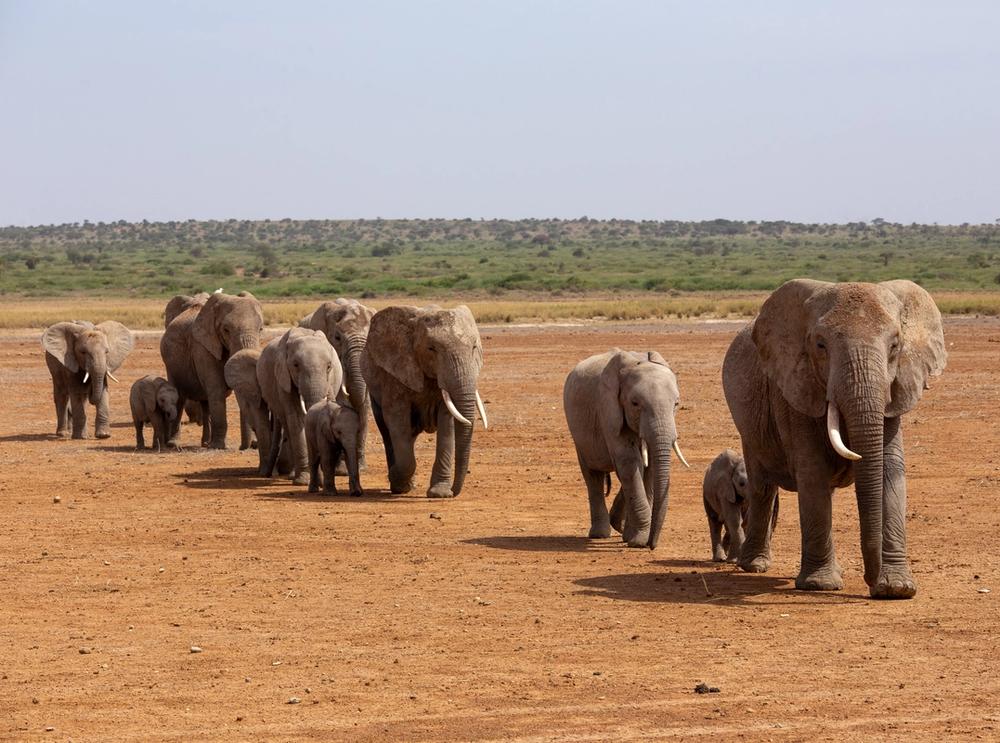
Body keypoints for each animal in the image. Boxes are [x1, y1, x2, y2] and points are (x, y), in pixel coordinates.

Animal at [160, 291, 264, 449]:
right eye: (226, 330)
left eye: (261, 329)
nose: (247, 446)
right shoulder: (202, 347)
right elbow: (217, 389)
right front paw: (219, 447)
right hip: (170, 363)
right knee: (179, 398)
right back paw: (174, 444)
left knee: (205, 403)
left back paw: (206, 443)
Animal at [257, 327, 343, 485]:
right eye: (296, 365)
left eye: (329, 366)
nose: (266, 475)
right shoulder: (283, 378)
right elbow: (296, 420)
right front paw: (303, 481)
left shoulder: (330, 381)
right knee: (288, 426)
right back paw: (294, 476)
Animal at [361, 305, 488, 499]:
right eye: (431, 348)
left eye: (474, 347)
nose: (455, 491)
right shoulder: (395, 373)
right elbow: (396, 418)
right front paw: (397, 479)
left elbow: (447, 422)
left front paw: (440, 493)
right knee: (388, 431)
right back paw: (399, 485)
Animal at [563, 349, 690, 549]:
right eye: (635, 404)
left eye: (676, 404)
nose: (652, 545)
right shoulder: (608, 410)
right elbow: (629, 462)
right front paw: (639, 541)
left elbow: (649, 466)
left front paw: (634, 537)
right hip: (579, 435)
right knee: (592, 476)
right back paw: (600, 534)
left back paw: (620, 528)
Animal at [722, 279, 946, 599]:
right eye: (820, 345)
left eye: (895, 346)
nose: (870, 582)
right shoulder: (796, 390)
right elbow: (813, 471)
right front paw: (820, 585)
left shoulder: (897, 389)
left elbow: (890, 471)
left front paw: (896, 588)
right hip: (750, 426)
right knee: (762, 486)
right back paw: (754, 566)